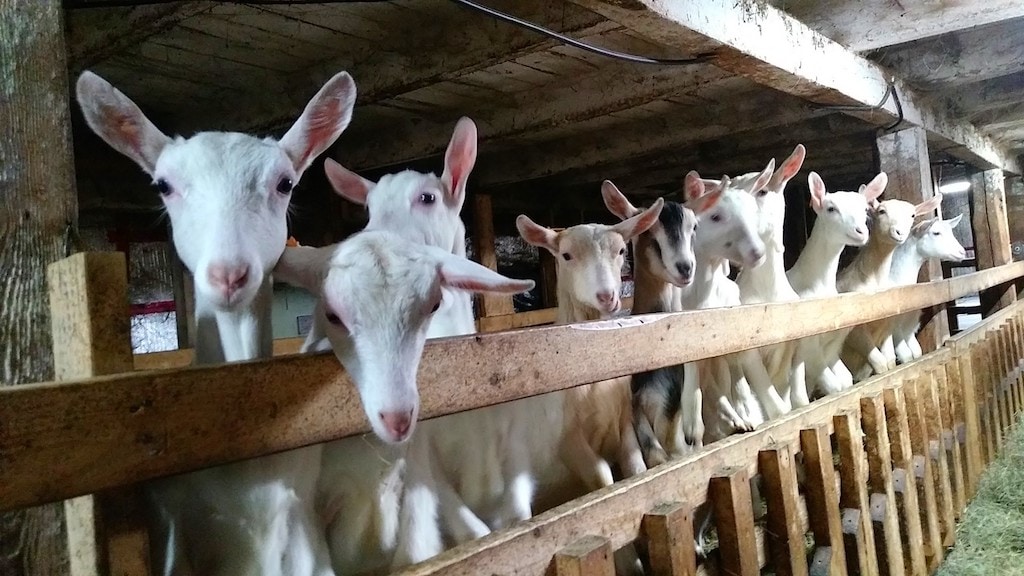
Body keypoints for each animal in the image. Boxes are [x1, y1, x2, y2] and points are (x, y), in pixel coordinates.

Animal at [782, 171, 880, 393]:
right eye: (831, 208)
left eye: (864, 209)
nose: (860, 231)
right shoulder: (807, 346)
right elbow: (834, 387)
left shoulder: (831, 345)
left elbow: (843, 381)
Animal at [892, 213, 962, 360]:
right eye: (936, 233)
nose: (962, 252)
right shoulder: (893, 332)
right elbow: (906, 356)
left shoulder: (910, 328)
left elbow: (917, 353)